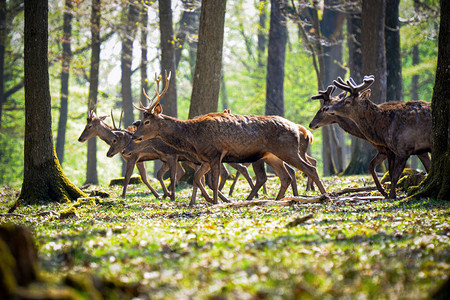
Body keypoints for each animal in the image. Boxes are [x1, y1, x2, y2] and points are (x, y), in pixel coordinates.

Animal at [132, 71, 326, 205]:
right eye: (141, 120)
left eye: (147, 121)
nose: (134, 136)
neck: (193, 137)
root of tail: (298, 129)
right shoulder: (205, 159)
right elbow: (198, 178)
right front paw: (208, 200)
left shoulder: (215, 153)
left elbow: (214, 181)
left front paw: (216, 202)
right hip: (272, 155)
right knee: (286, 176)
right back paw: (277, 200)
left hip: (287, 150)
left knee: (309, 168)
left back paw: (324, 195)